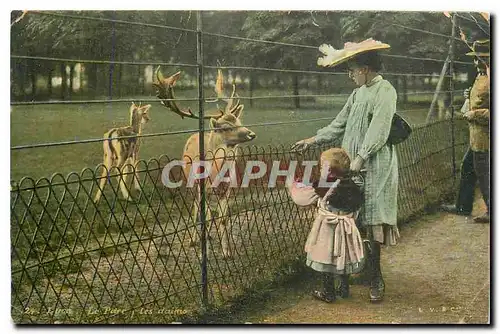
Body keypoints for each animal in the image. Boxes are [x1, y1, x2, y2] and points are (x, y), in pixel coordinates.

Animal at [153, 66, 256, 258]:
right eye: (226, 127)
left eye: (239, 121)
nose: (251, 133)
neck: (216, 174)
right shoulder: (202, 188)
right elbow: (204, 218)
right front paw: (203, 253)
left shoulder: (228, 189)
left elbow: (223, 219)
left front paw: (227, 252)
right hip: (191, 182)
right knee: (195, 209)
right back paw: (194, 240)